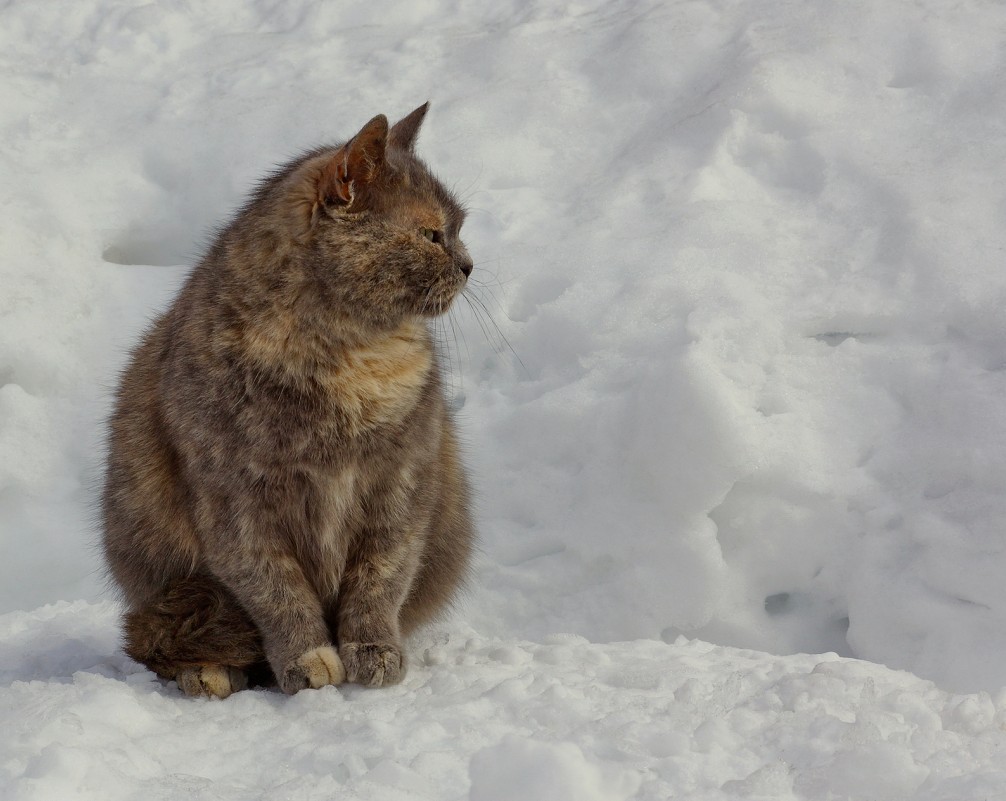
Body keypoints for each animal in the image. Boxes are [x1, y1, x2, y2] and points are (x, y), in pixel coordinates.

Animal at [101, 104, 474, 696]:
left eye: (458, 227)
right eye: (431, 233)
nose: (469, 265)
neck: (349, 360)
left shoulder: (402, 483)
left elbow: (380, 579)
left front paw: (374, 652)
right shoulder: (236, 504)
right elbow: (278, 592)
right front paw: (309, 659)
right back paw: (208, 671)